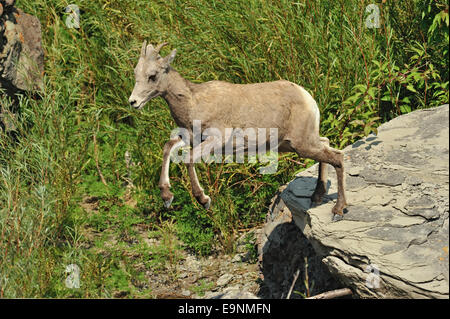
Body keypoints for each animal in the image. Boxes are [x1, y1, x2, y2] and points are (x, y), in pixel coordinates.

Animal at [129, 42, 348, 221]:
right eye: (136, 74)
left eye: (152, 76)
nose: (133, 102)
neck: (193, 102)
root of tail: (307, 97)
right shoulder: (188, 138)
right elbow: (168, 148)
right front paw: (167, 197)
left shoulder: (215, 140)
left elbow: (189, 159)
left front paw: (204, 200)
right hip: (298, 144)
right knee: (327, 145)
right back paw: (316, 197)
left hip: (302, 145)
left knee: (337, 157)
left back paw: (337, 211)